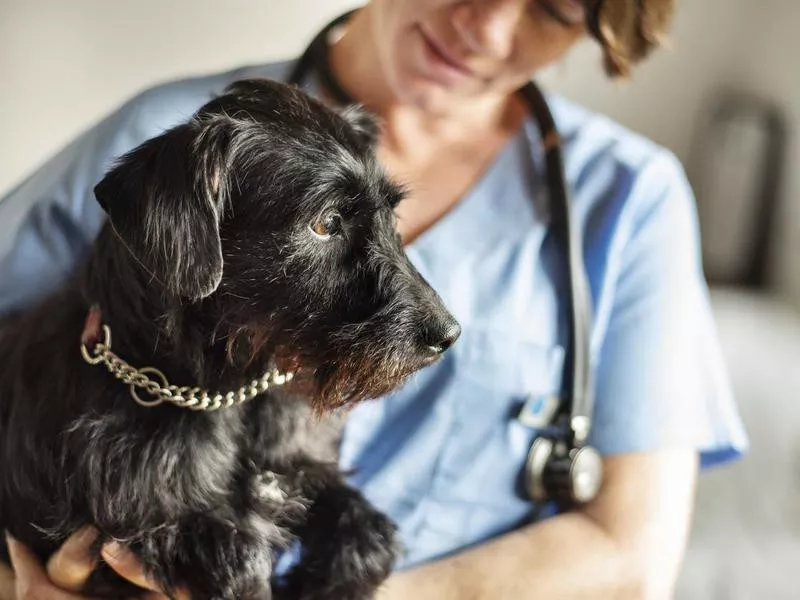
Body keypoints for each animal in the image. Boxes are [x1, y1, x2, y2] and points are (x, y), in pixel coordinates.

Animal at [0, 79, 460, 600]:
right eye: (326, 223)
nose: (448, 334)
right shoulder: (161, 528)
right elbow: (241, 561)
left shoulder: (298, 470)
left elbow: (371, 535)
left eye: (391, 215)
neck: (229, 393)